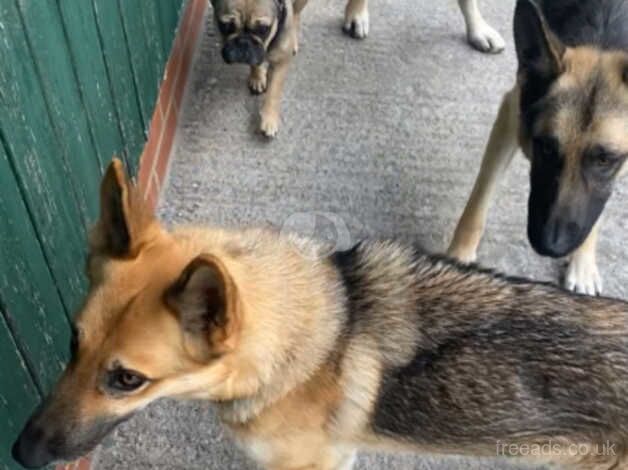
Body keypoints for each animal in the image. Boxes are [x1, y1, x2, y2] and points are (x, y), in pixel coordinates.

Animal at [446, 0, 628, 294]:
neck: (602, 37)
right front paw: (458, 258)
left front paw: (583, 262)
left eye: (605, 159)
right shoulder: (512, 113)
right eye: (545, 148)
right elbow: (479, 199)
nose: (551, 246)